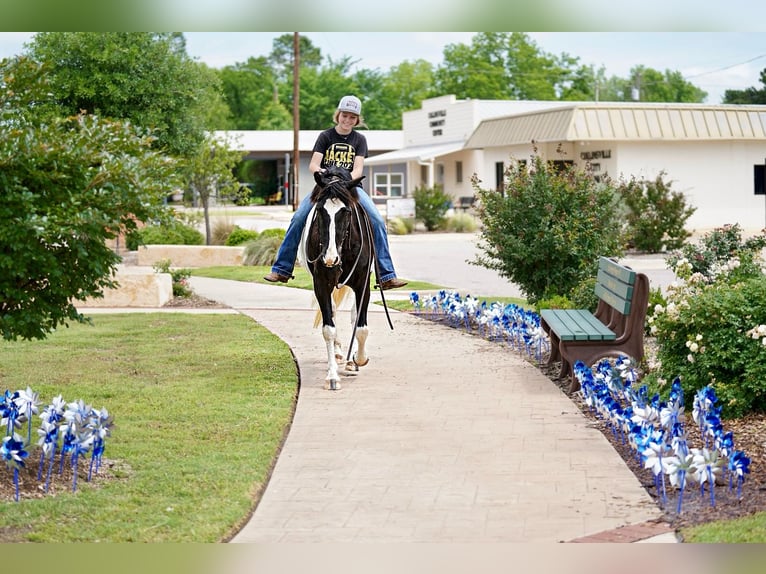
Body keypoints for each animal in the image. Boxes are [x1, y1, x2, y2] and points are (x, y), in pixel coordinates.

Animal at [296, 166, 376, 392]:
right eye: (320, 211)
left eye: (346, 211)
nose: (330, 258)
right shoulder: (321, 284)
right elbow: (328, 329)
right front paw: (332, 377)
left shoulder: (363, 284)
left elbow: (361, 327)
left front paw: (358, 359)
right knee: (332, 311)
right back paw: (340, 353)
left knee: (354, 314)